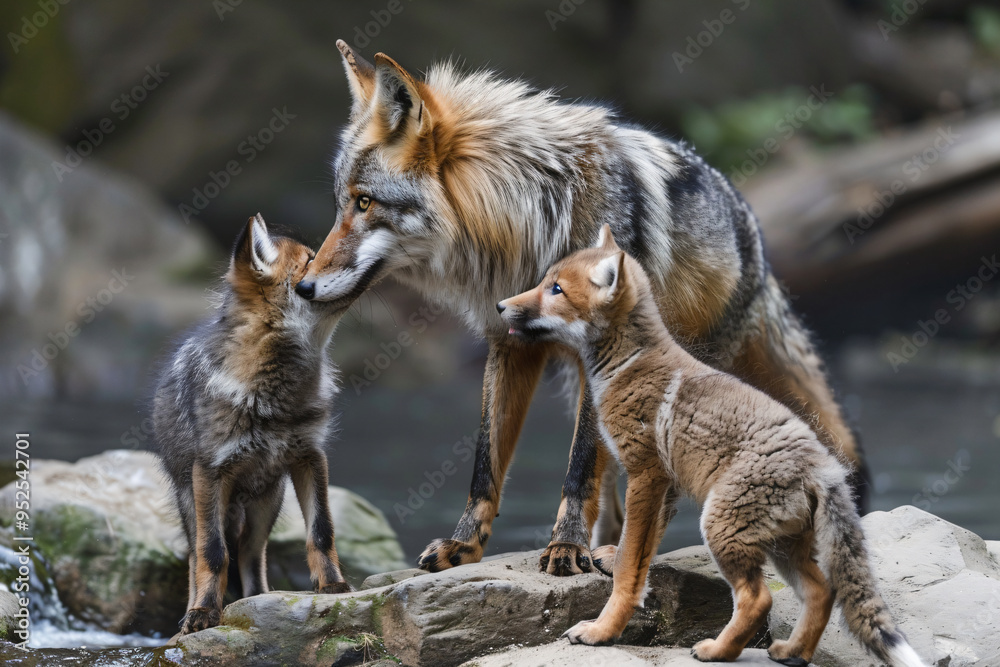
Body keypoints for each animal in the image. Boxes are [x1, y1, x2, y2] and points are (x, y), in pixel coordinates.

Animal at [155, 214, 351, 635]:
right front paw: (204, 613)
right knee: (199, 556)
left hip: (266, 506)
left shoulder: (310, 457)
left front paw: (332, 586)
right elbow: (213, 554)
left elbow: (321, 531)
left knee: (250, 556)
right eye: (311, 259)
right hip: (194, 505)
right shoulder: (210, 472)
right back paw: (193, 612)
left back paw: (258, 601)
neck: (275, 401)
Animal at [296, 41, 867, 576]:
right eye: (342, 204)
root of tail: (754, 232)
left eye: (364, 202)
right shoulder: (509, 345)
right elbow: (485, 466)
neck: (527, 227)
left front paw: (566, 547)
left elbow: (576, 468)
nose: (302, 286)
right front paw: (465, 546)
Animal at [497, 226, 925, 666]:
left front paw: (602, 632)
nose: (500, 306)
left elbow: (628, 571)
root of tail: (824, 467)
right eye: (545, 282)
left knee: (759, 599)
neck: (629, 363)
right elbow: (642, 557)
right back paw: (792, 652)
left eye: (556, 289)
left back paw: (717, 650)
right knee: (822, 591)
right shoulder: (664, 485)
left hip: (722, 530)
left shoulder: (645, 475)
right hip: (783, 547)